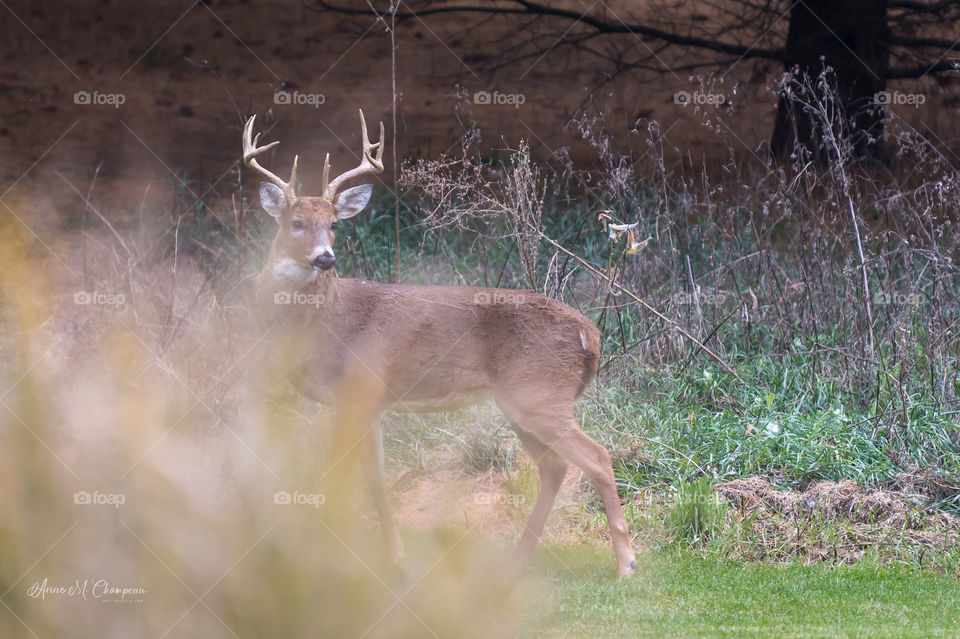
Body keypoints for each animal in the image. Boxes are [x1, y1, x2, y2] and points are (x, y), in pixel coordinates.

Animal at [242, 109, 637, 577]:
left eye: (334, 225)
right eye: (296, 223)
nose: (325, 257)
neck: (326, 321)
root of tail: (590, 333)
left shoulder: (357, 387)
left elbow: (338, 473)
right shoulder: (369, 400)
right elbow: (375, 477)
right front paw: (395, 556)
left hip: (539, 393)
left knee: (597, 457)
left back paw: (626, 563)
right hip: (523, 401)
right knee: (554, 466)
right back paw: (517, 558)